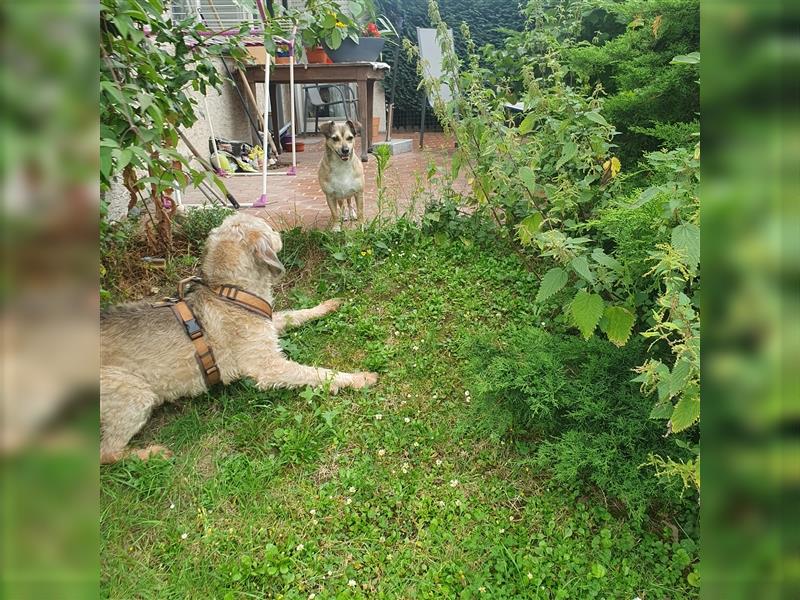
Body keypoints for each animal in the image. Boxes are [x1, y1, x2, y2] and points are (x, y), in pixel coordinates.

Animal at [98, 212, 376, 464]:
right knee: (107, 453)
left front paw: (325, 307)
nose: (280, 233)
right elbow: (318, 373)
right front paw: (358, 378)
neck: (230, 293)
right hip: (133, 393)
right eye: (268, 227)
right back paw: (151, 454)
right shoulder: (268, 367)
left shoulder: (269, 325)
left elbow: (294, 315)